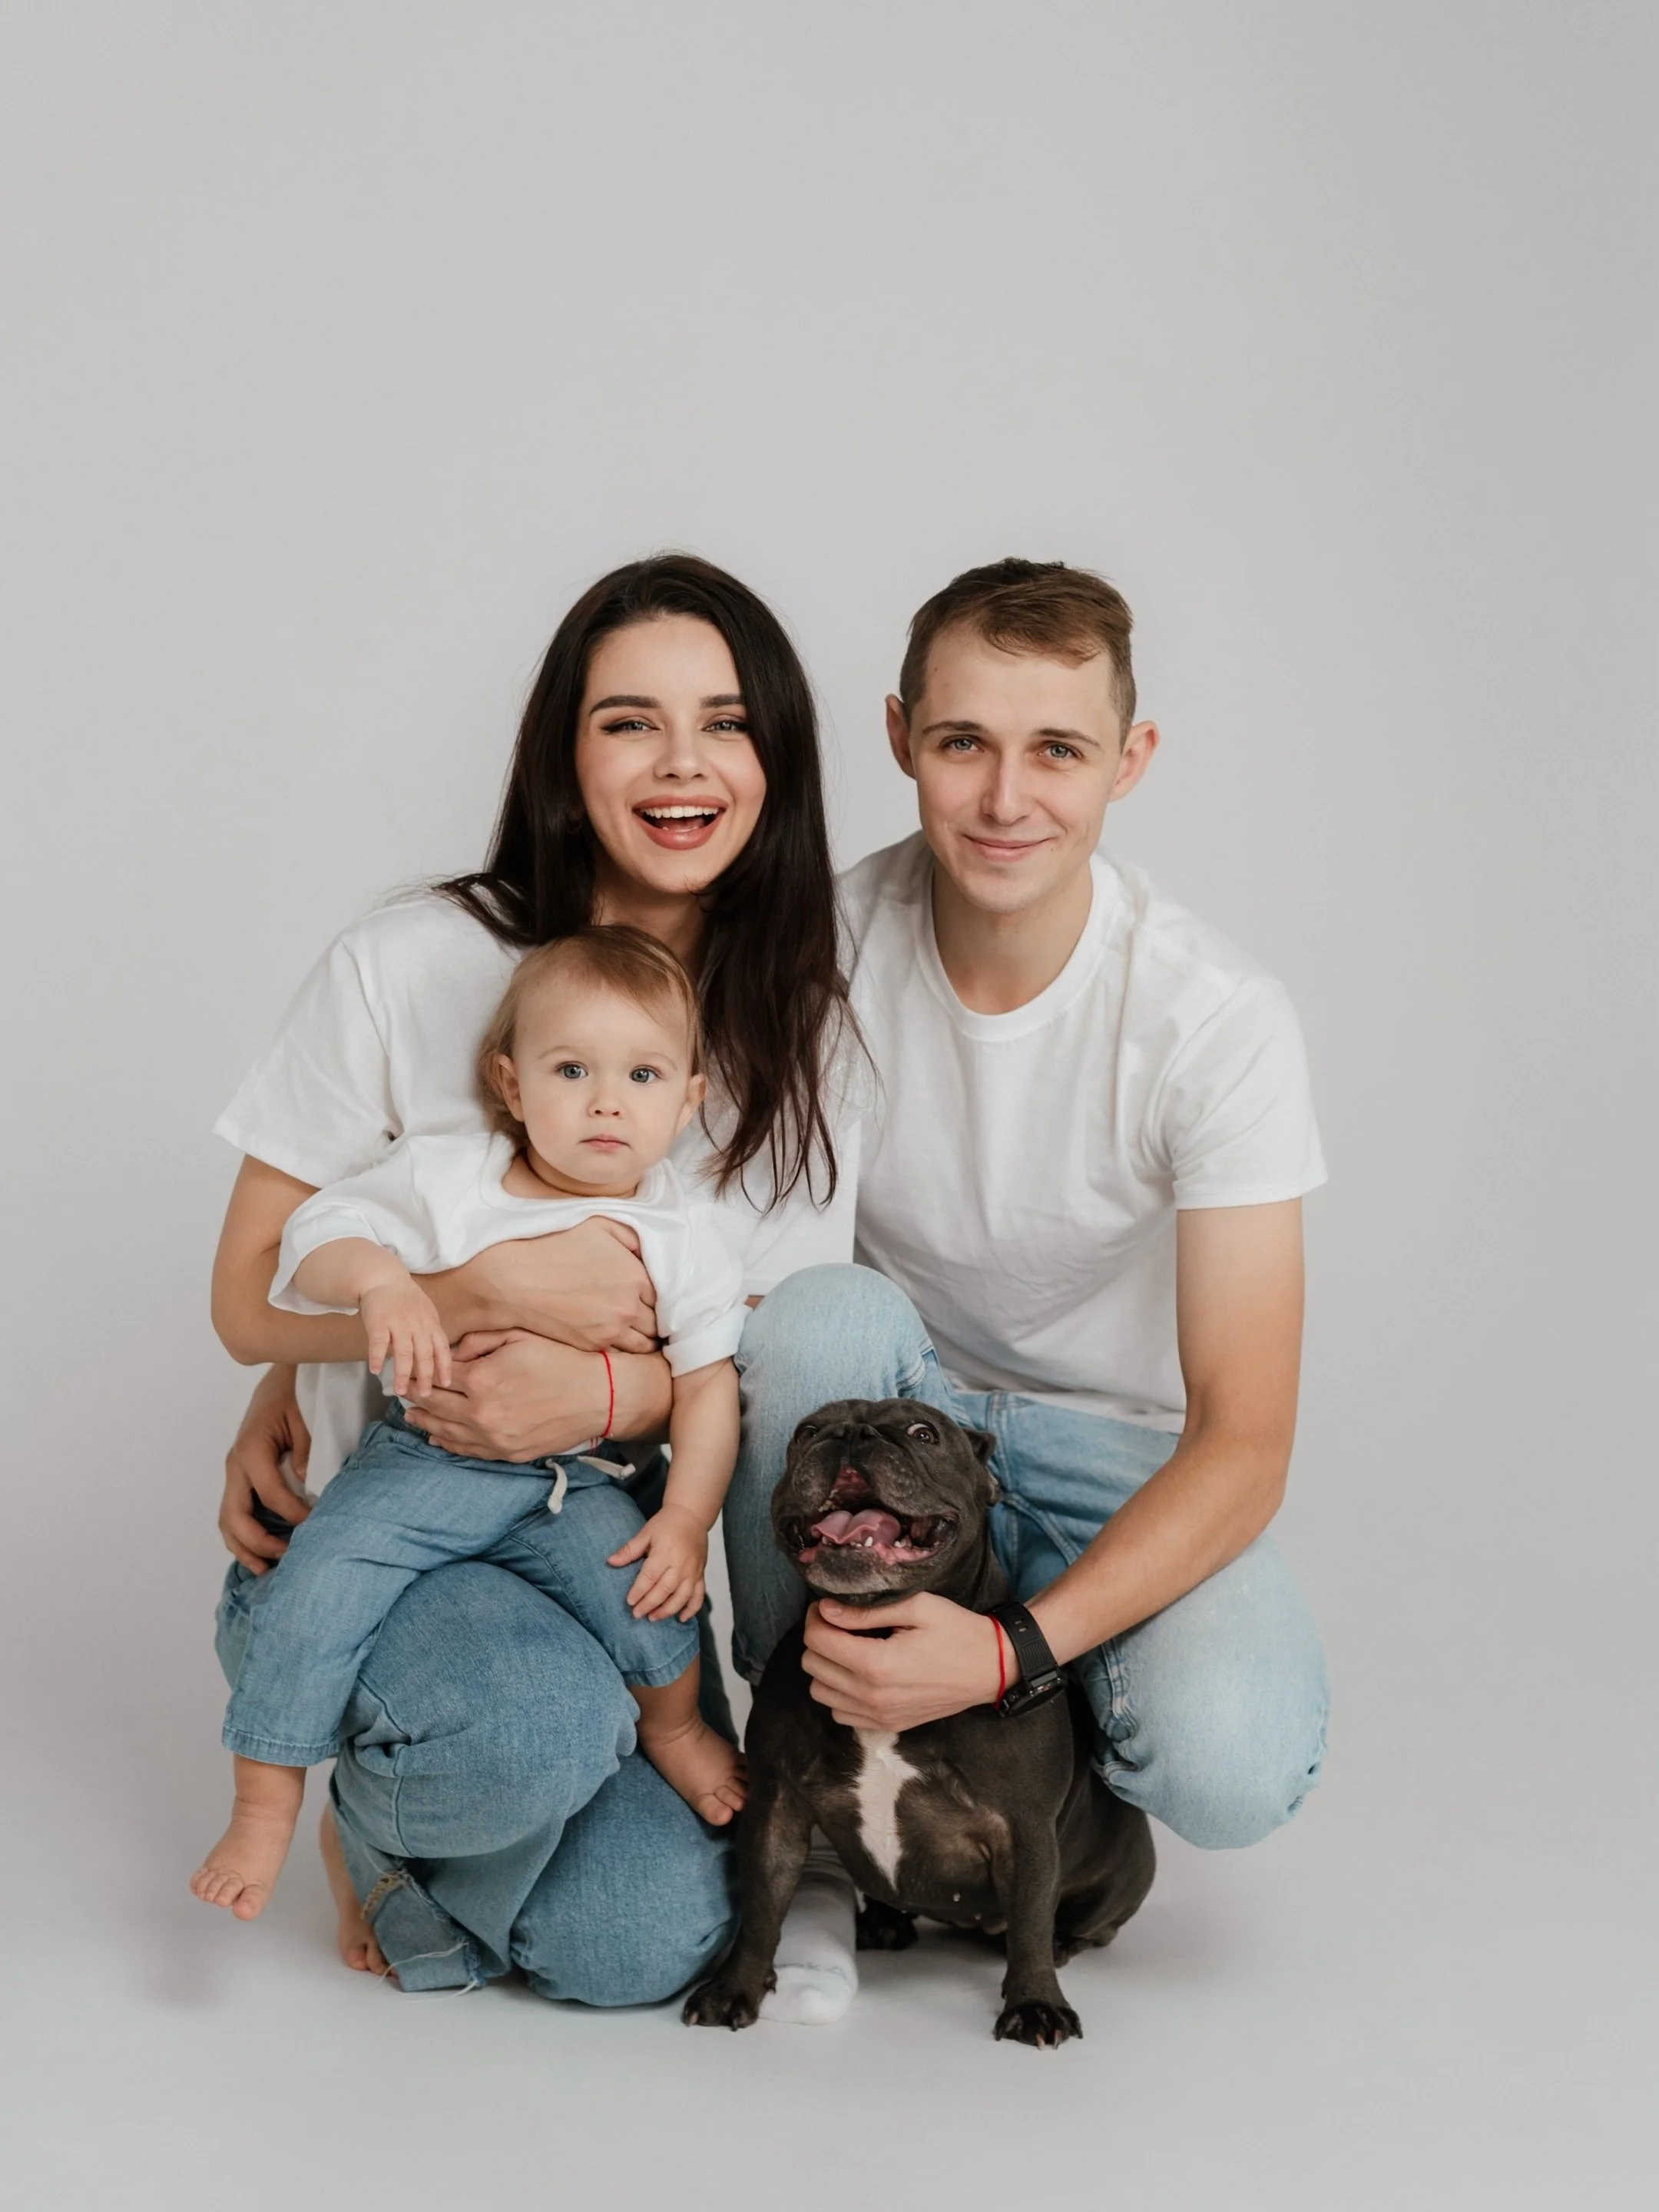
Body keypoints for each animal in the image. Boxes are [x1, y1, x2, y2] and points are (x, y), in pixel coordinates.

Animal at [683, 1398, 1155, 2047]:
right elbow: (761, 1906)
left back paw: (1064, 1941)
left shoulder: (1026, 1829)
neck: (879, 1632)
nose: (850, 1433)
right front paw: (735, 1988)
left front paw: (1036, 2003)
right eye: (807, 1431)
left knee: (1077, 1922)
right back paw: (882, 1921)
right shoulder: (774, 1809)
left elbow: (1031, 1918)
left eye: (923, 1433)